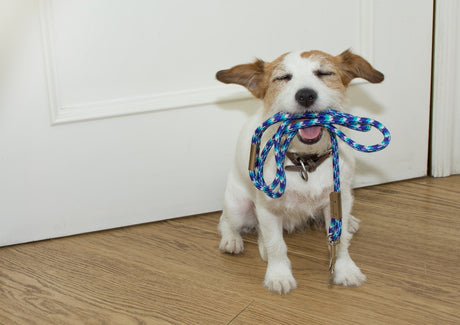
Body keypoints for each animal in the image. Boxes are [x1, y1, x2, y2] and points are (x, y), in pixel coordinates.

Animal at [216, 48, 384, 294]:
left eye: (324, 73)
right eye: (283, 77)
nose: (305, 95)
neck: (306, 162)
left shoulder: (338, 199)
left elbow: (340, 240)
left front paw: (345, 269)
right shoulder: (267, 208)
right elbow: (276, 245)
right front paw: (279, 275)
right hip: (239, 207)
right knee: (227, 221)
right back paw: (232, 240)